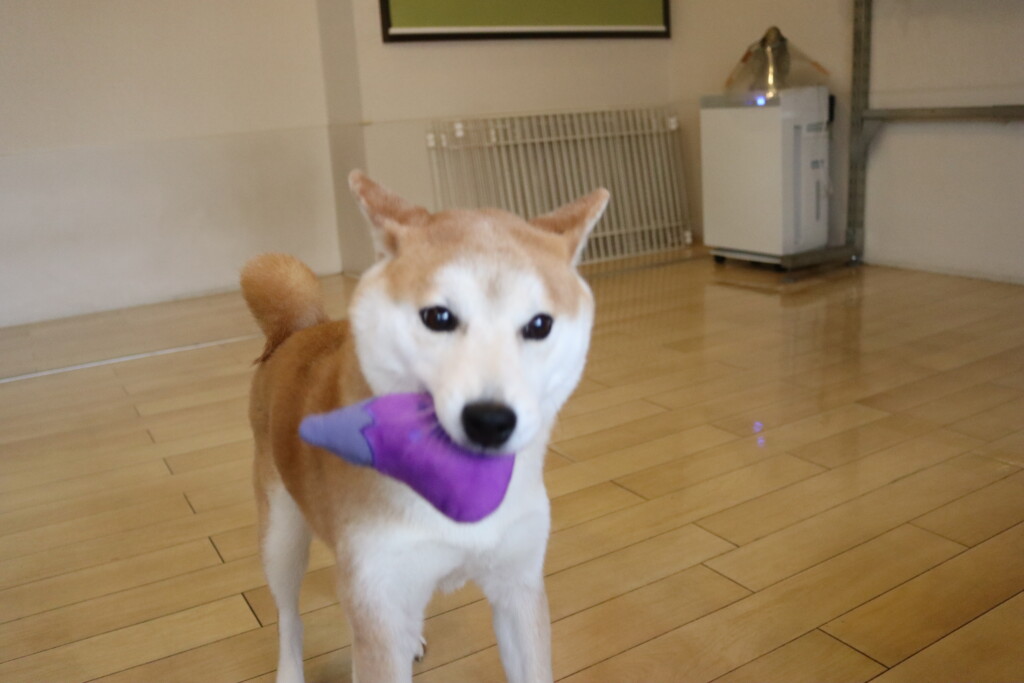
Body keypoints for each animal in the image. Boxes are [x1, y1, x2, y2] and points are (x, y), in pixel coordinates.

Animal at [240, 171, 608, 683]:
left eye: (539, 325)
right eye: (438, 317)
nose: (490, 420)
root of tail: (298, 331)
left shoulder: (518, 588)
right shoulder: (378, 601)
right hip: (282, 536)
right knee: (288, 618)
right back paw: (290, 671)